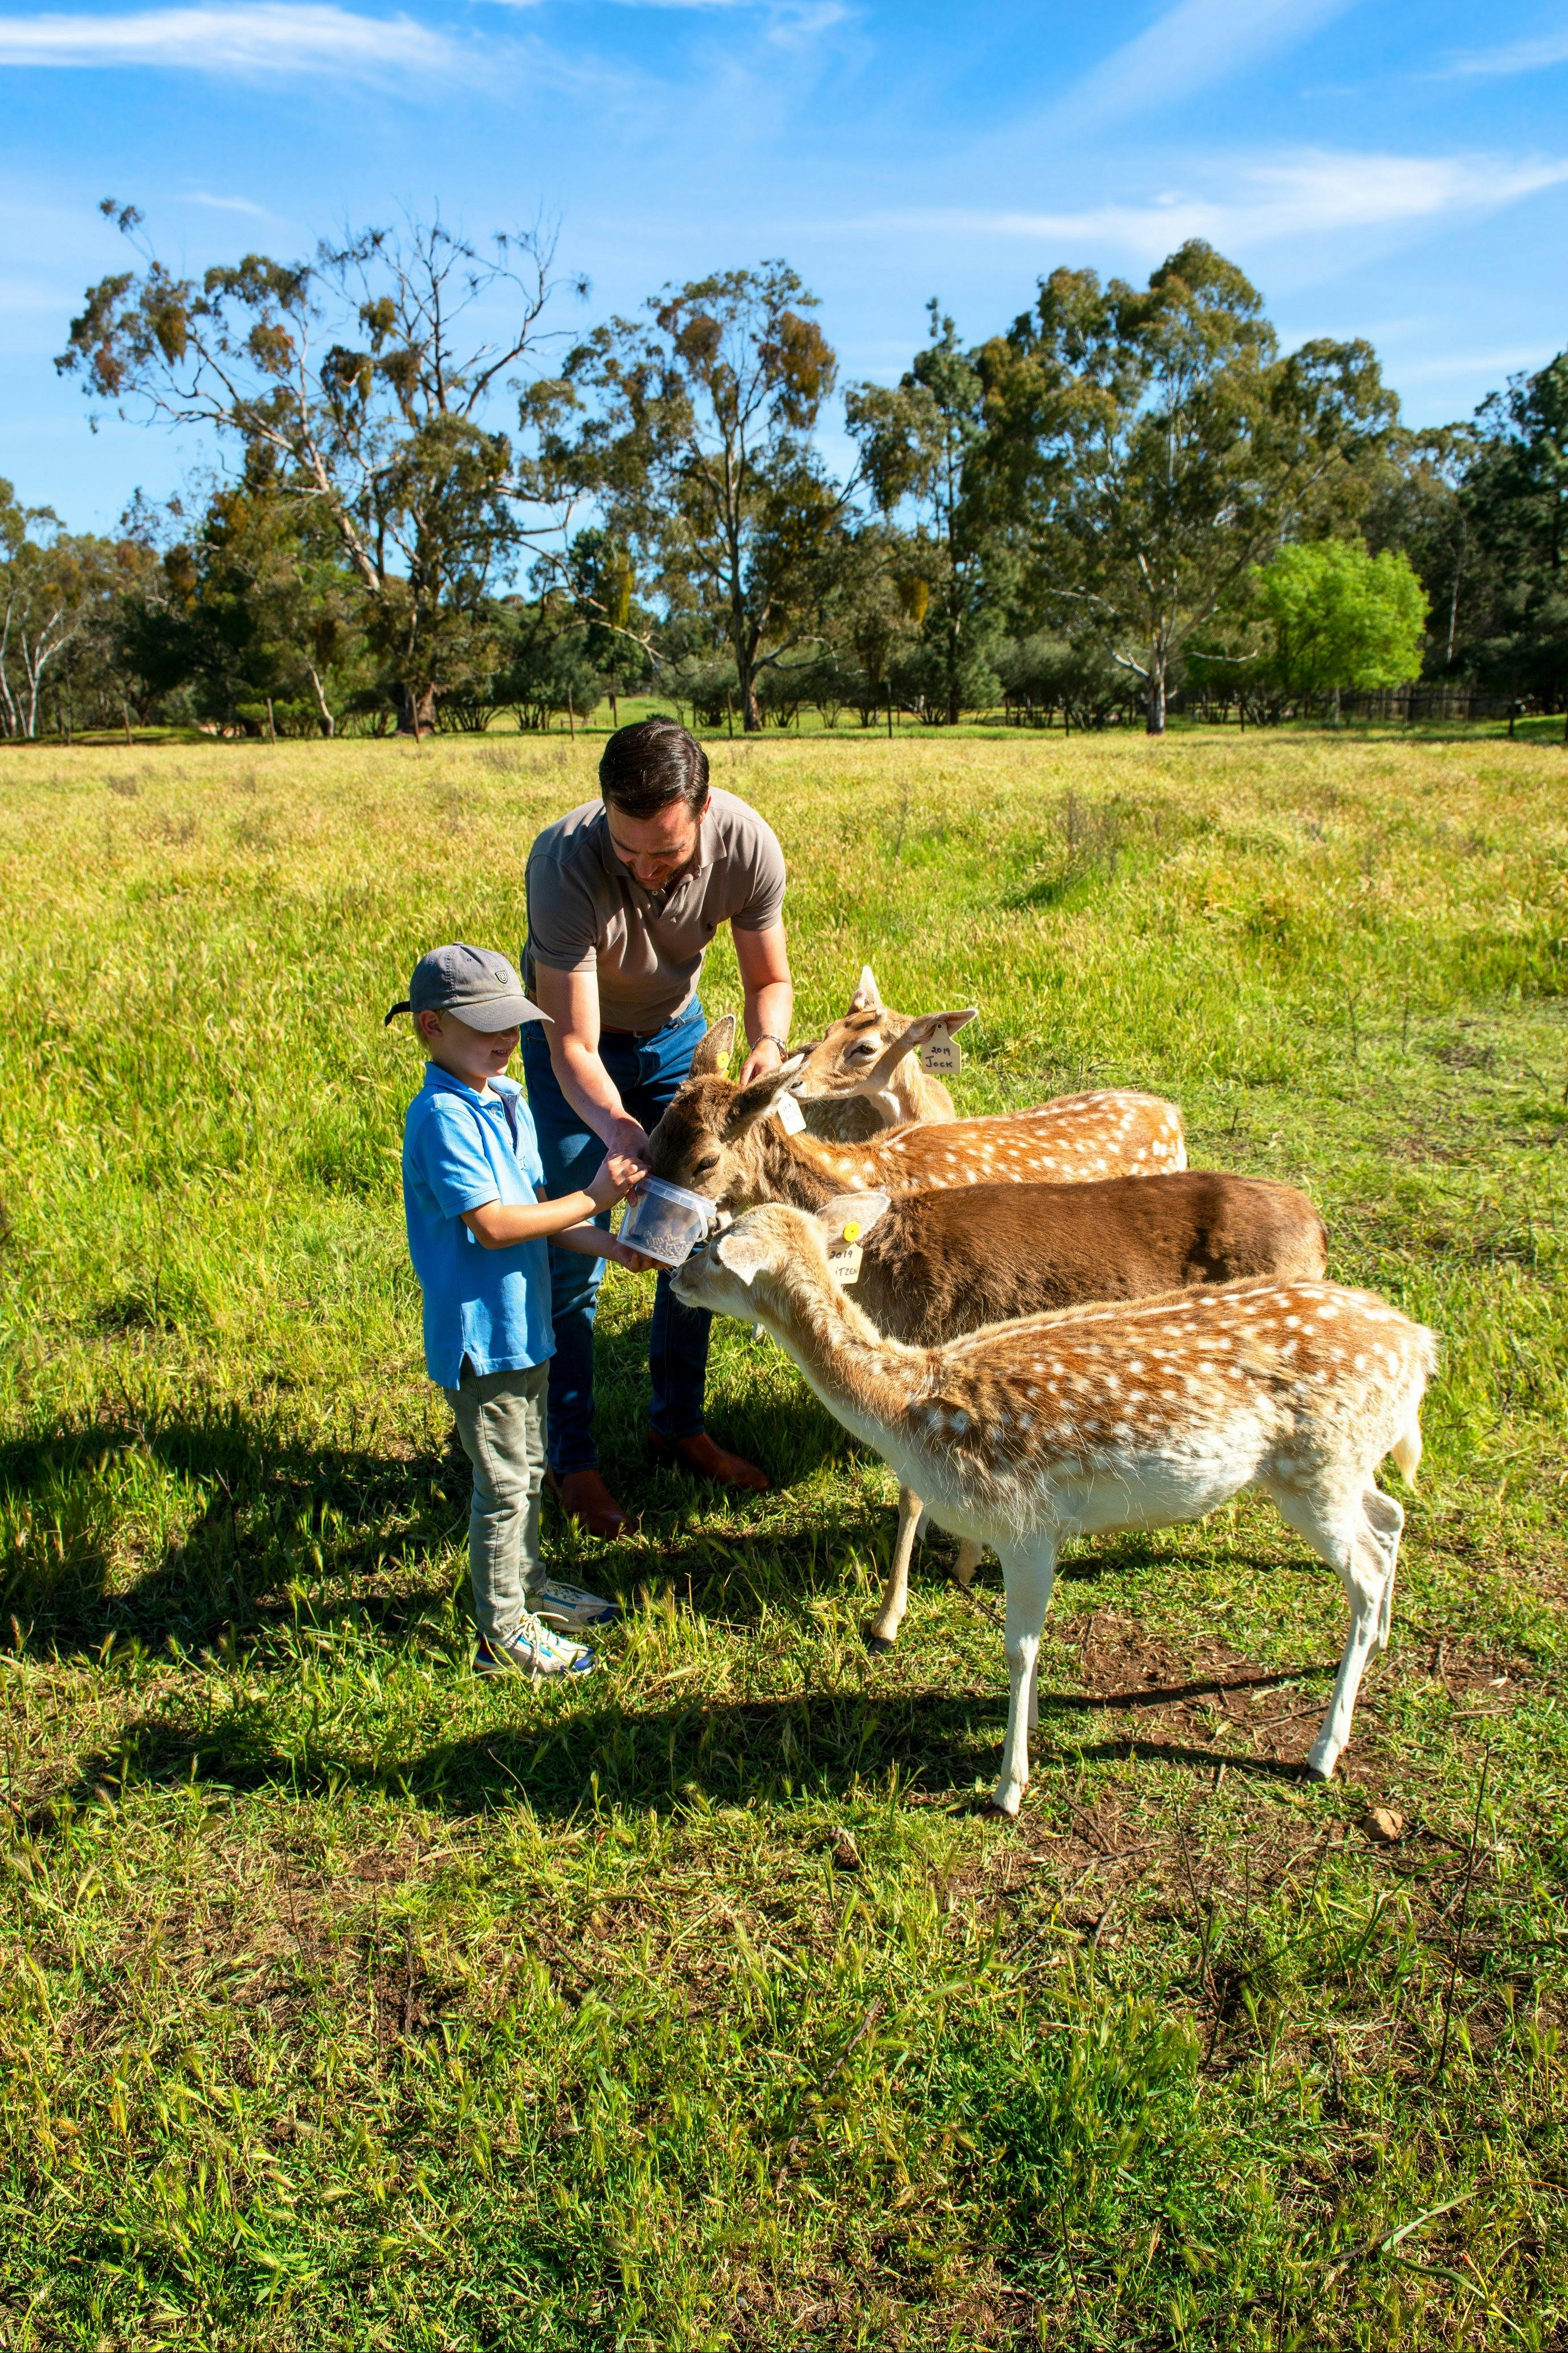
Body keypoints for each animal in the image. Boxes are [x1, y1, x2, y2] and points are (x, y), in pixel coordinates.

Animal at [673, 1204, 1436, 1813]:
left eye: (718, 1247)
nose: (675, 1275)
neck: (910, 1409)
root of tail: (1421, 1345)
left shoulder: (1025, 1523)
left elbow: (1019, 1647)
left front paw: (1008, 1786)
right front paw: (1031, 1729)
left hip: (1318, 1469)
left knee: (1365, 1569)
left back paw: (1323, 1749)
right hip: (1339, 1465)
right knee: (1390, 1518)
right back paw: (1382, 1639)